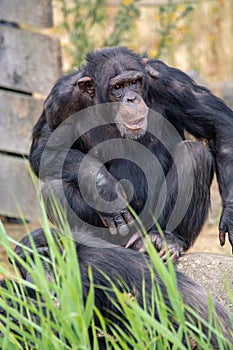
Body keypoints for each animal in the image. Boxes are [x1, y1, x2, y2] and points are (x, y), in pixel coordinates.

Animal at [30, 45, 233, 260]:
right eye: (118, 87)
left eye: (134, 82)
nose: (132, 98)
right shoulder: (59, 100)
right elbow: (44, 151)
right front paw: (105, 187)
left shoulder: (173, 82)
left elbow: (219, 126)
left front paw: (230, 214)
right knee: (53, 191)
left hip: (149, 223)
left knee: (195, 154)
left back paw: (168, 239)